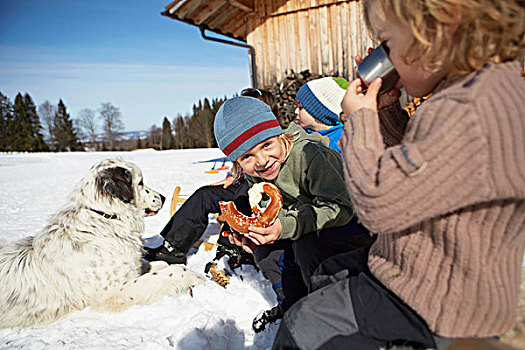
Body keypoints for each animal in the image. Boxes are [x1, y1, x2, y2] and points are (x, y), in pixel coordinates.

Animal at [0, 159, 205, 328]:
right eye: (140, 182)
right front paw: (198, 278)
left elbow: (156, 265)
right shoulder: (113, 292)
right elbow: (173, 272)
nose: (162, 197)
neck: (105, 217)